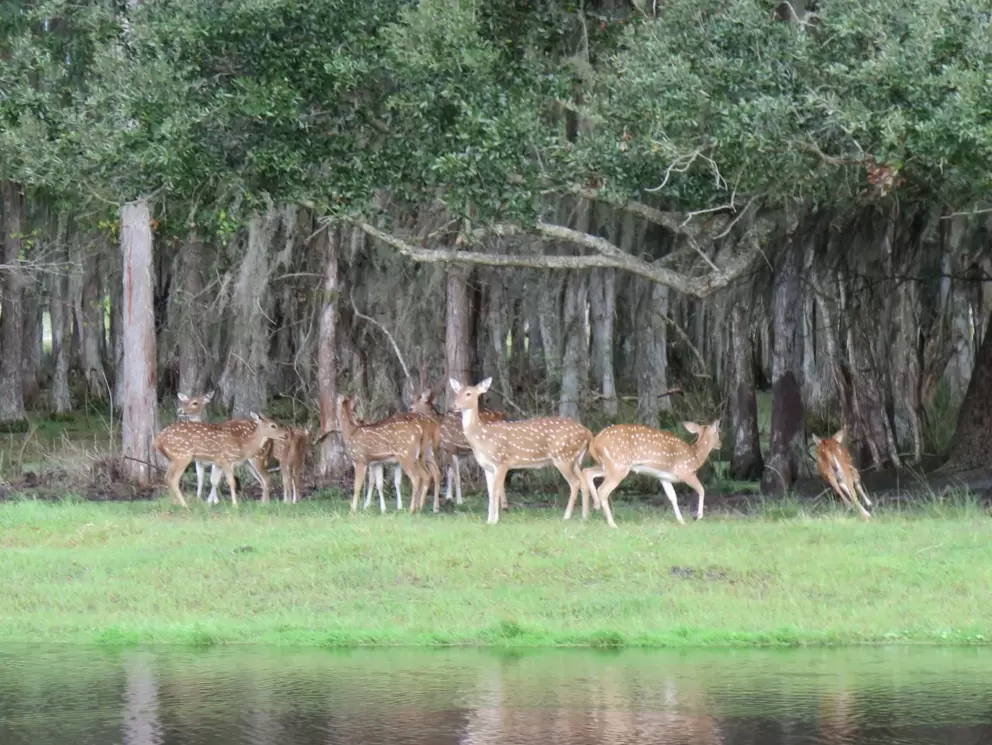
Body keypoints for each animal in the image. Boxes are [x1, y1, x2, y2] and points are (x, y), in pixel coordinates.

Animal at [153, 412, 290, 508]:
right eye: (273, 425)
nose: (285, 434)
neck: (242, 445)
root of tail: (158, 440)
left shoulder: (219, 463)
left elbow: (214, 481)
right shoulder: (227, 459)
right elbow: (231, 482)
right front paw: (235, 505)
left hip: (174, 458)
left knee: (166, 477)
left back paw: (174, 503)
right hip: (183, 455)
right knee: (173, 478)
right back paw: (184, 505)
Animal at [448, 377, 595, 525]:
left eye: (468, 393)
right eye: (456, 392)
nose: (453, 405)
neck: (481, 438)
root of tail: (588, 432)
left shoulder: (502, 462)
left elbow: (496, 490)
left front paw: (494, 521)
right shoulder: (487, 467)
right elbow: (490, 492)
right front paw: (489, 520)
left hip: (562, 457)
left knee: (575, 483)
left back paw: (567, 516)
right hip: (574, 460)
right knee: (583, 482)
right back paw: (585, 516)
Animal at [582, 420, 722, 528]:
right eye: (717, 432)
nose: (720, 444)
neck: (696, 457)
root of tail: (595, 441)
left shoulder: (664, 478)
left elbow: (673, 497)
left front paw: (681, 521)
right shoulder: (686, 472)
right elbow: (701, 490)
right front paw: (698, 516)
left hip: (607, 465)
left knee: (587, 471)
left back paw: (593, 508)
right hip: (618, 466)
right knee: (602, 489)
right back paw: (612, 523)